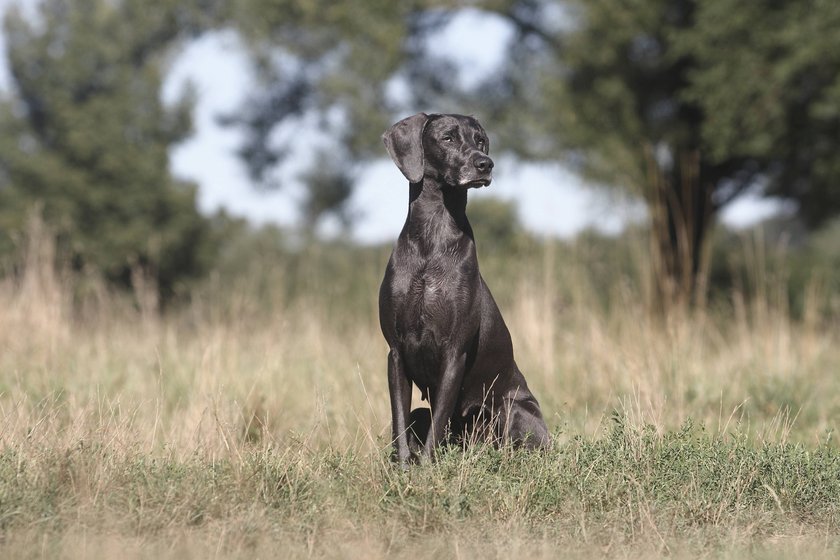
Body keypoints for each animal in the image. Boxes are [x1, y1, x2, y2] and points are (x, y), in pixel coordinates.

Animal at [378, 111, 552, 466]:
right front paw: (402, 468)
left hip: (512, 409)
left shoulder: (453, 353)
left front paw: (426, 469)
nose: (485, 164)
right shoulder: (396, 352)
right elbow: (399, 421)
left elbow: (439, 422)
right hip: (425, 411)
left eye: (480, 140)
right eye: (448, 138)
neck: (432, 235)